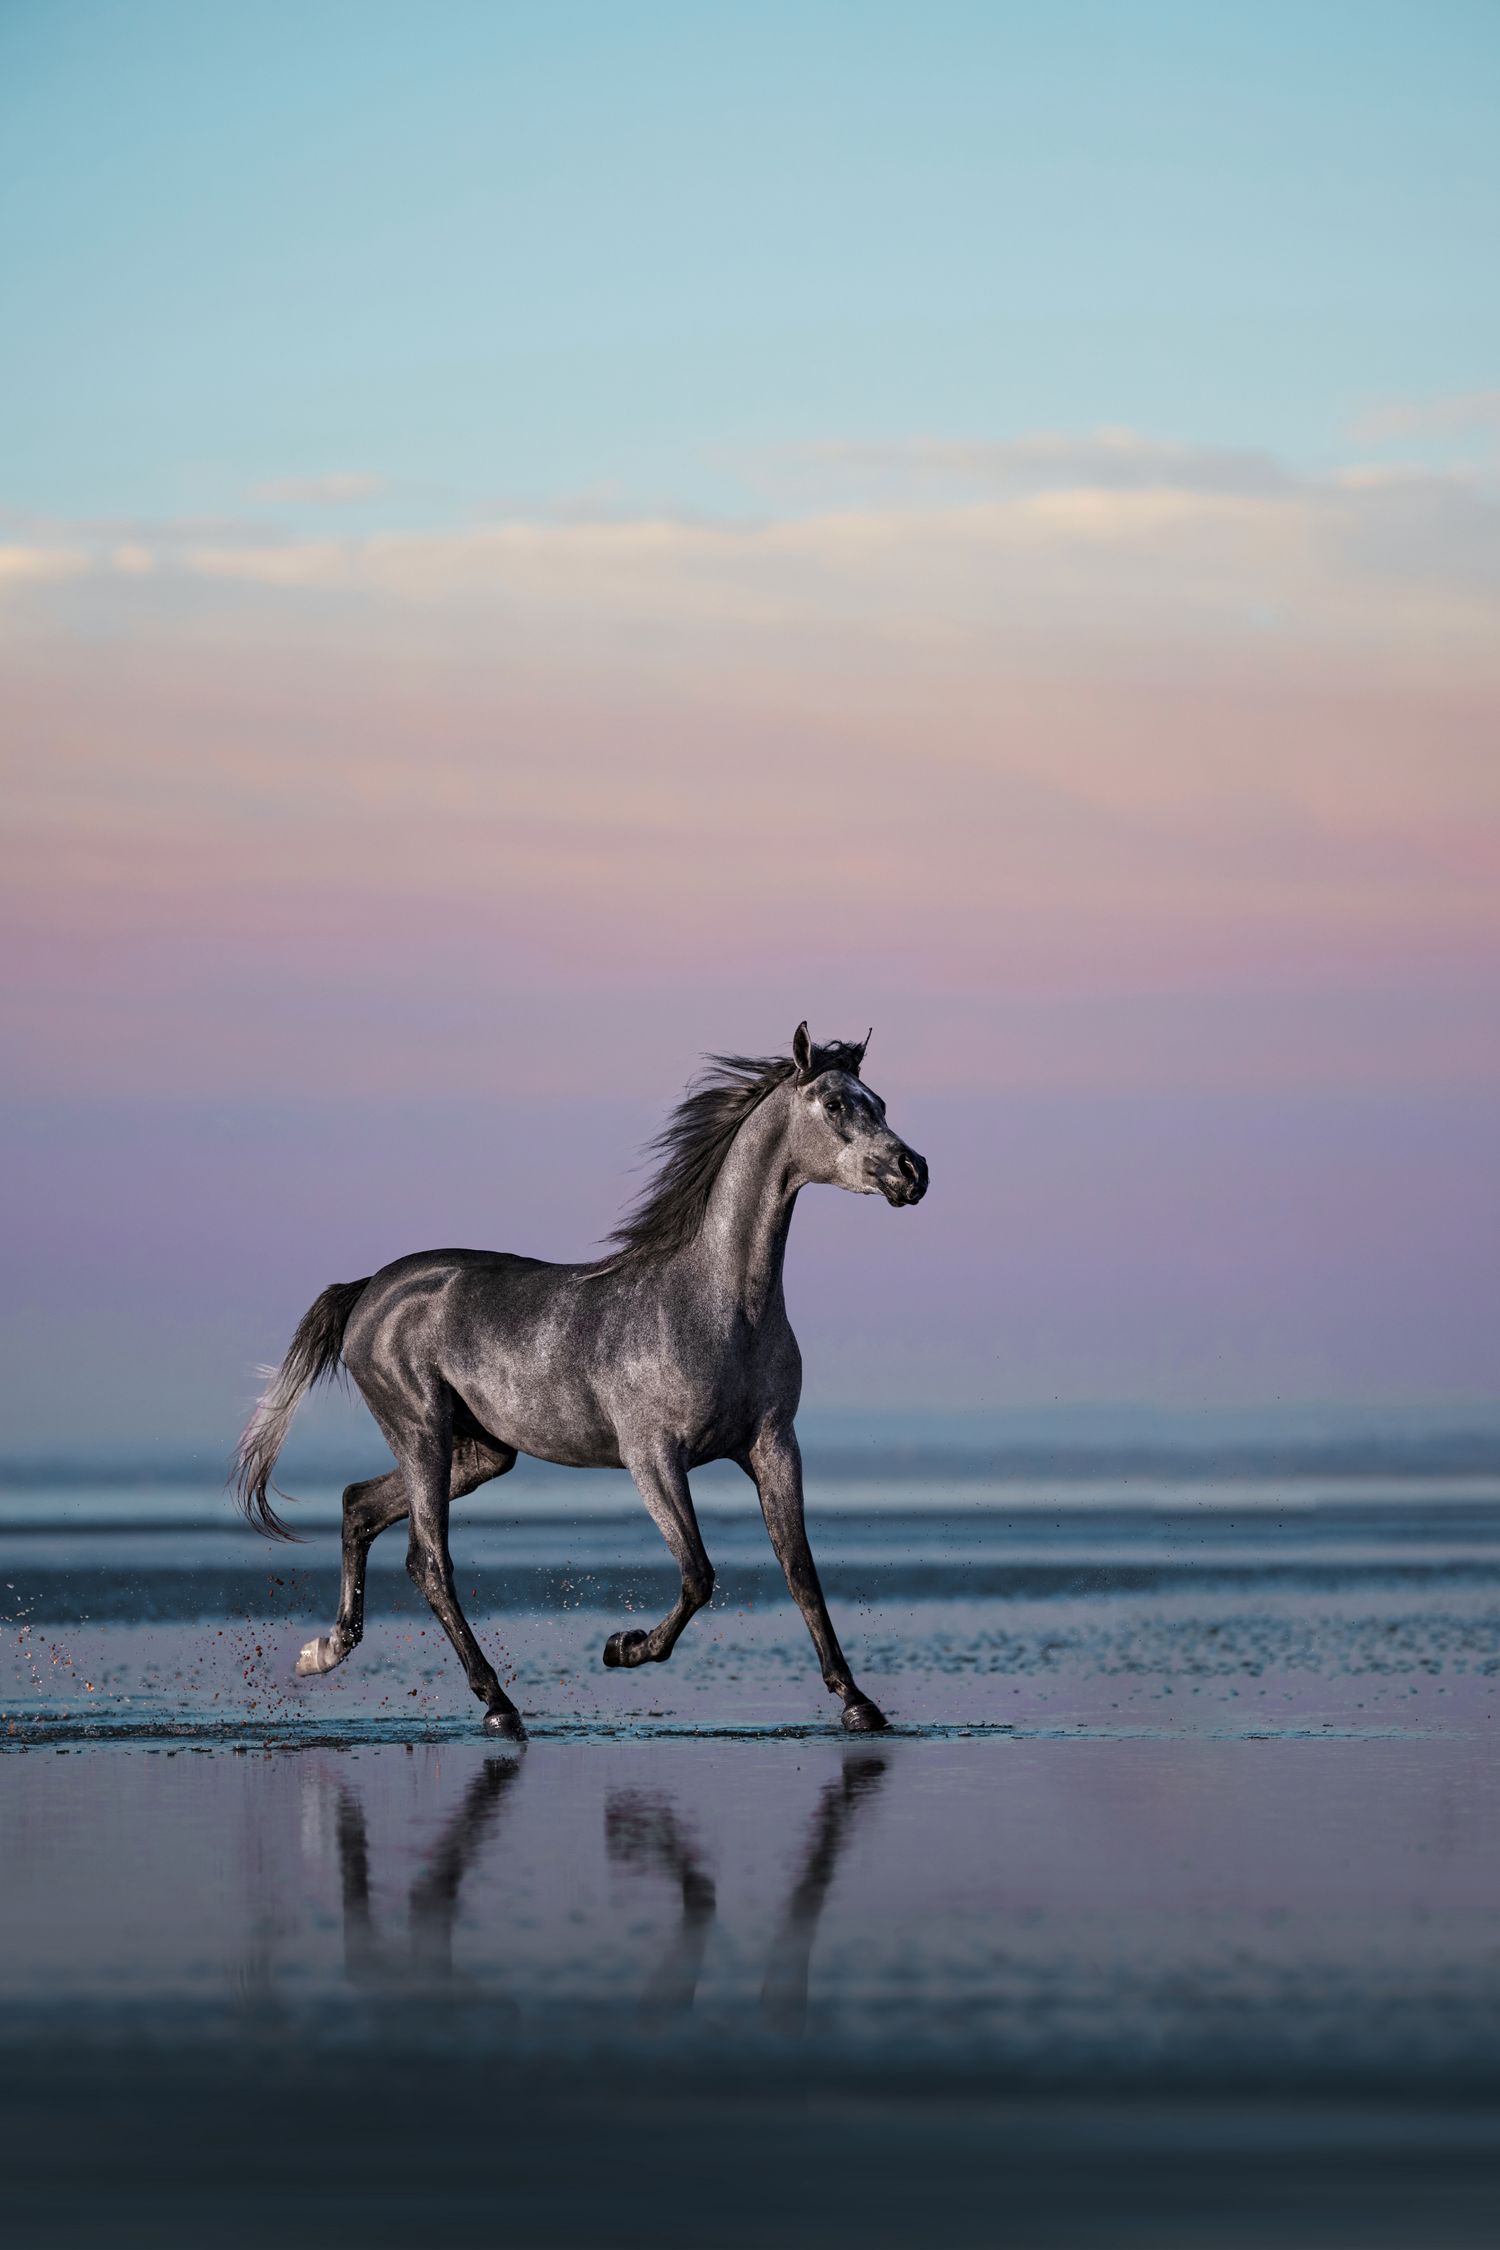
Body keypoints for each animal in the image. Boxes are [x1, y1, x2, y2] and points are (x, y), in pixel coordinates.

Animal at [233, 1023, 929, 1739]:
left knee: (358, 1505)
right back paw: (499, 1706)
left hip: (481, 1453)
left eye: (878, 1101)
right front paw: (623, 1647)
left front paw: (858, 1702)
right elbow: (698, 1573)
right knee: (429, 1562)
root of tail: (371, 1288)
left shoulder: (772, 1446)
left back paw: (325, 1651)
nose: (913, 1172)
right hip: (421, 1431)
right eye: (835, 1104)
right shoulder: (653, 1457)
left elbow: (800, 1570)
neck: (720, 1305)